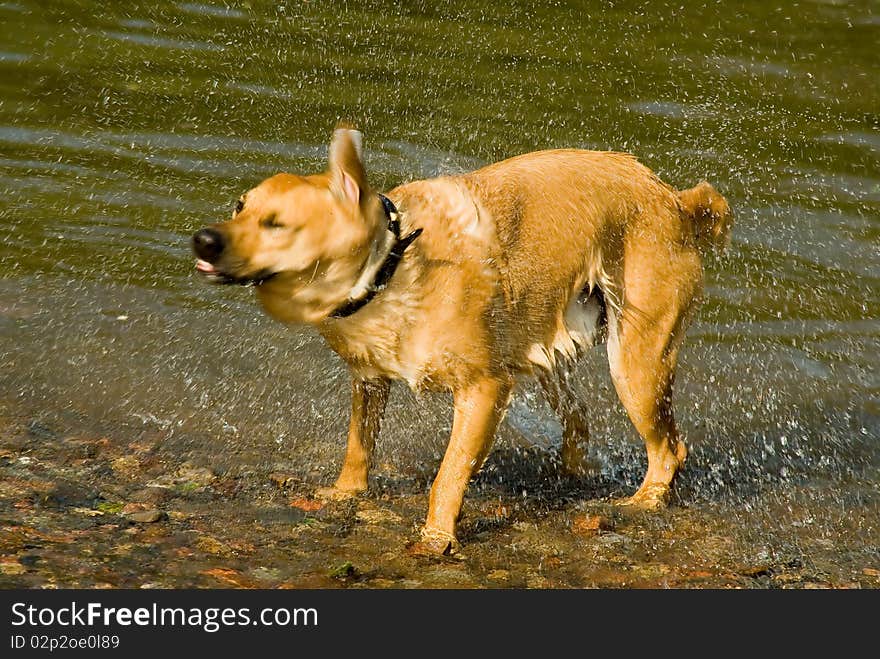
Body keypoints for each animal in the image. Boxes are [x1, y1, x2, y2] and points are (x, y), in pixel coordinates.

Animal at [194, 126, 736, 556]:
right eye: (239, 206)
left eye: (277, 224)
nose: (202, 239)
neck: (392, 265)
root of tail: (675, 201)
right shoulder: (369, 380)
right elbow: (358, 447)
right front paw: (344, 496)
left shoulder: (484, 389)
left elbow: (448, 475)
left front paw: (436, 538)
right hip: (547, 353)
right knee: (580, 418)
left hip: (636, 362)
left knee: (669, 448)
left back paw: (641, 502)